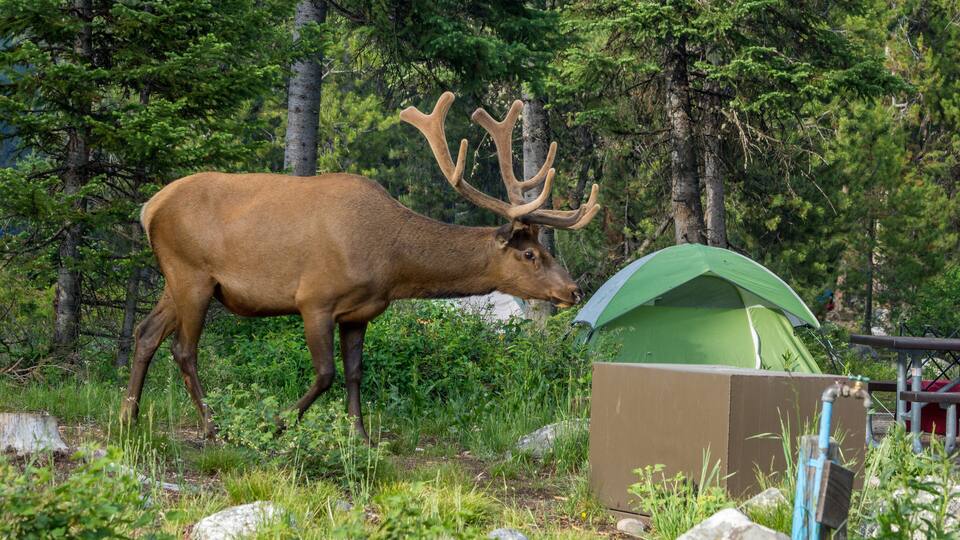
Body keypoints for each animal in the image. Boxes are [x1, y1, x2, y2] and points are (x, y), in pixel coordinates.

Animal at [119, 92, 600, 441]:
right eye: (530, 254)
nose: (573, 291)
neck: (391, 263)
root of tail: (149, 208)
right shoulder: (314, 299)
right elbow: (326, 373)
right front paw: (277, 422)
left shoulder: (360, 312)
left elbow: (354, 373)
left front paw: (360, 435)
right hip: (193, 275)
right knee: (183, 349)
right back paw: (210, 425)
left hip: (174, 280)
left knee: (145, 334)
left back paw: (129, 416)